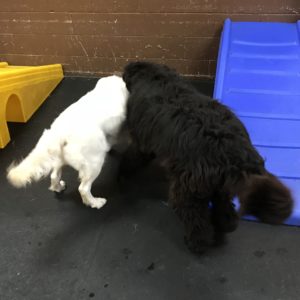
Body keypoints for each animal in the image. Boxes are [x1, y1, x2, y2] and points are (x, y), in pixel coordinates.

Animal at [7, 75, 129, 209]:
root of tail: (59, 132)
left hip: (61, 159)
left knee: (54, 176)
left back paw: (58, 187)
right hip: (94, 164)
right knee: (83, 188)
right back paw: (95, 202)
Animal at [119, 61, 292, 253]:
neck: (156, 77)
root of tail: (232, 154)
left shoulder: (141, 141)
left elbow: (133, 155)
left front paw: (123, 170)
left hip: (188, 190)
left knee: (195, 218)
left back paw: (196, 243)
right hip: (219, 187)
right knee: (224, 208)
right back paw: (226, 224)